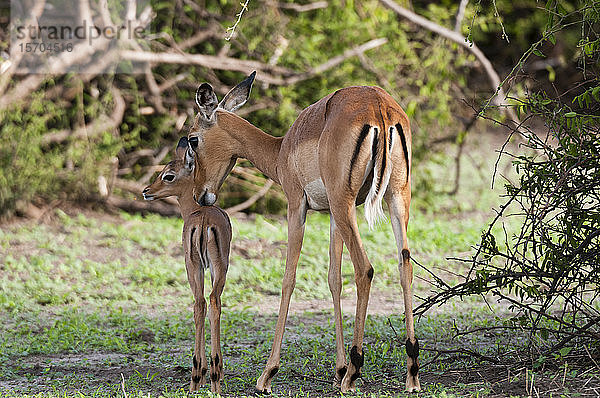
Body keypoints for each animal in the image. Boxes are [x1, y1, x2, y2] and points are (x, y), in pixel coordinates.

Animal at [143, 138, 232, 394]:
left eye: (168, 175)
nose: (146, 191)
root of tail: (203, 222)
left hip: (196, 267)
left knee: (201, 304)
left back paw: (200, 375)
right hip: (212, 268)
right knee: (209, 302)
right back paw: (210, 375)